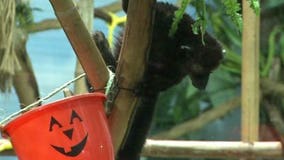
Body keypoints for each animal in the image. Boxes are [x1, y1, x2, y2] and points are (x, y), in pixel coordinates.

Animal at [92, 1, 223, 160]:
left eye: (210, 73)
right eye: (202, 73)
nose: (203, 85)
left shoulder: (180, 68)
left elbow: (167, 80)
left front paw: (145, 88)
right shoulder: (165, 15)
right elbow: (127, 8)